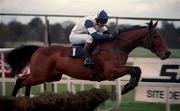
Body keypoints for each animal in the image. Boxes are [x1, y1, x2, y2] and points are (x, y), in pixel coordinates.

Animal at [6, 20, 171, 96]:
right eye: (155, 36)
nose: (167, 53)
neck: (116, 46)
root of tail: (39, 49)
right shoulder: (111, 72)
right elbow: (135, 69)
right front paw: (126, 87)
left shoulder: (117, 70)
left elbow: (137, 69)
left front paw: (128, 87)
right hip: (42, 75)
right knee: (20, 81)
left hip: (50, 76)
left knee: (25, 82)